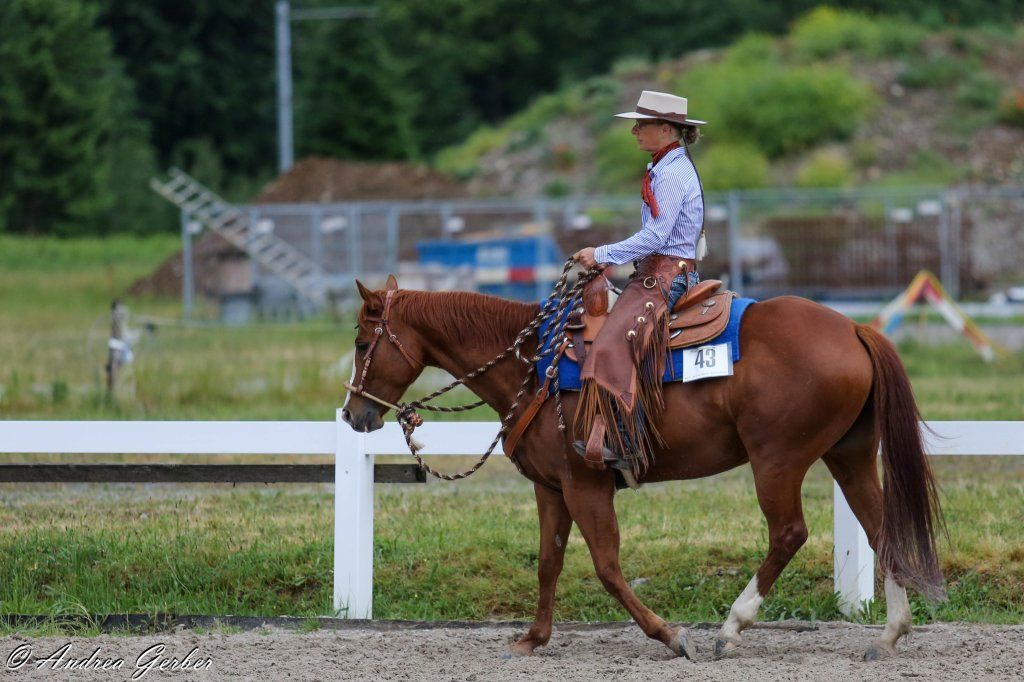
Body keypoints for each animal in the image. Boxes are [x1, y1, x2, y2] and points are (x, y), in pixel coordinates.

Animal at [342, 274, 944, 661]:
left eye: (363, 342)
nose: (353, 413)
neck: (534, 366)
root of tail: (853, 329)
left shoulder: (586, 485)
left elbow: (607, 567)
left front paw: (671, 635)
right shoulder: (551, 488)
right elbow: (548, 563)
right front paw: (532, 639)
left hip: (777, 459)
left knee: (788, 533)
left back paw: (731, 628)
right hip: (849, 454)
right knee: (881, 529)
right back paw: (890, 635)